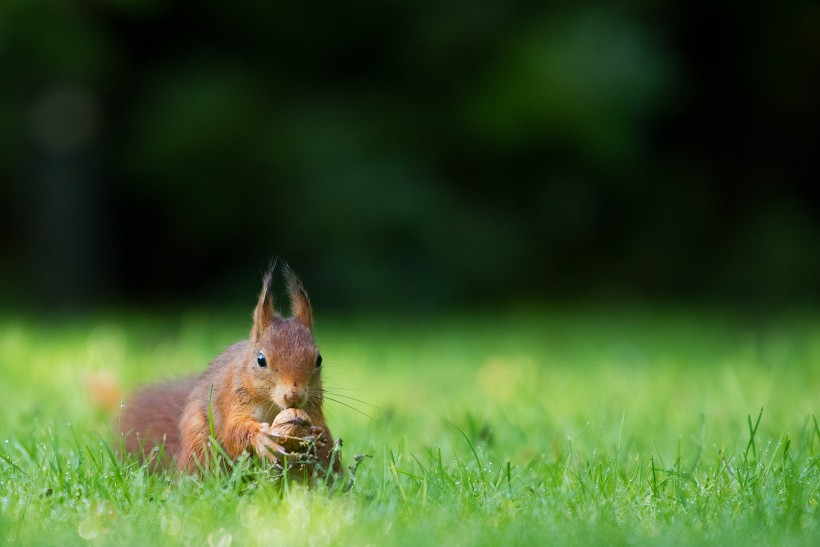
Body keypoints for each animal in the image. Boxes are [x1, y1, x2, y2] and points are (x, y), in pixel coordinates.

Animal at [117, 266, 336, 476]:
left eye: (319, 359)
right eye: (261, 360)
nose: (294, 396)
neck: (272, 404)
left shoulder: (312, 404)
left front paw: (316, 435)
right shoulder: (232, 397)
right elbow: (234, 428)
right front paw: (261, 438)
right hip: (200, 446)